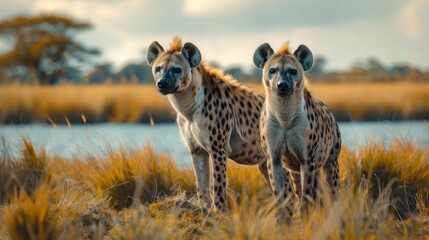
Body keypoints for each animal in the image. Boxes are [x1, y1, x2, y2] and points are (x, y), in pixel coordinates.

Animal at [145, 36, 272, 211]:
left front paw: (220, 212)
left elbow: (218, 185)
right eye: (158, 68)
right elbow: (201, 182)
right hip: (267, 164)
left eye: (177, 69)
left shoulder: (218, 148)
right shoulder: (196, 149)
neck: (188, 109)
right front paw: (205, 209)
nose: (163, 83)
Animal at [252, 41, 340, 223]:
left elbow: (307, 195)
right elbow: (280, 193)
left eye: (293, 71)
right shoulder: (273, 157)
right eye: (272, 70)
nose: (282, 85)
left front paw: (305, 217)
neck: (284, 117)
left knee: (332, 190)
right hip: (294, 170)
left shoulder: (307, 159)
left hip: (331, 161)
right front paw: (282, 219)